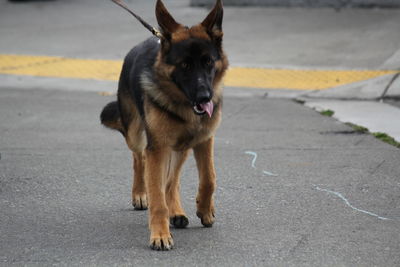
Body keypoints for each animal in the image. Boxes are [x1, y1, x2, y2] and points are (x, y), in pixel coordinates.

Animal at [100, 0, 228, 251]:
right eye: (184, 65)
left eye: (208, 62)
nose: (205, 97)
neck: (184, 107)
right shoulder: (158, 148)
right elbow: (157, 195)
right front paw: (159, 234)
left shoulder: (204, 140)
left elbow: (209, 178)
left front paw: (204, 209)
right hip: (137, 135)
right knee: (140, 159)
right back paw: (141, 194)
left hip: (181, 146)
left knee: (172, 180)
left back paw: (176, 211)